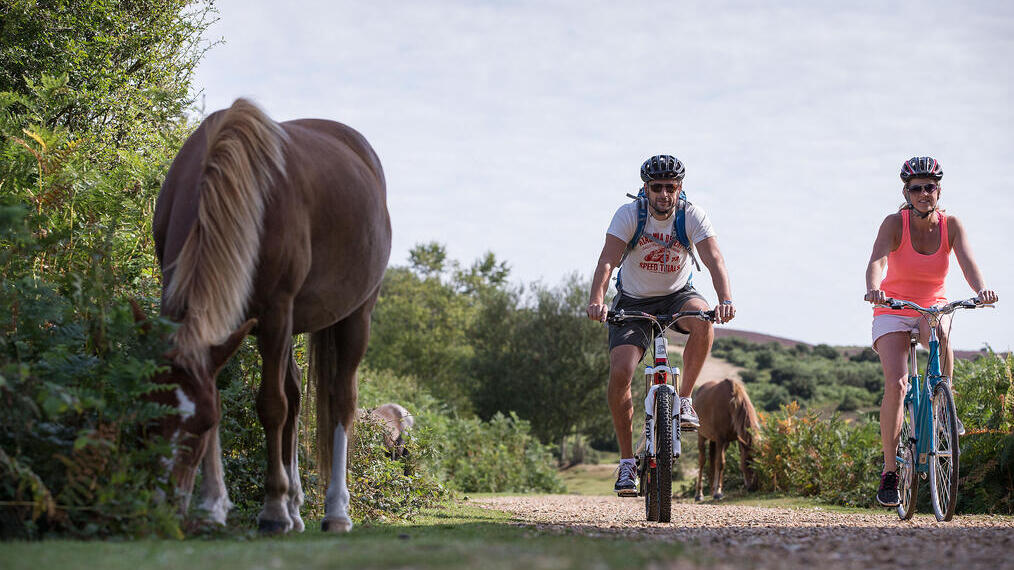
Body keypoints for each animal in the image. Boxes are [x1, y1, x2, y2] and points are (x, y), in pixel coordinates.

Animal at [150, 98, 391, 534]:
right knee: (295, 394)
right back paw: (296, 506)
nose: (164, 510)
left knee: (341, 401)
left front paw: (273, 509)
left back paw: (334, 510)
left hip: (354, 317)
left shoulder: (276, 312)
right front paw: (213, 506)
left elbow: (271, 406)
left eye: (200, 426)